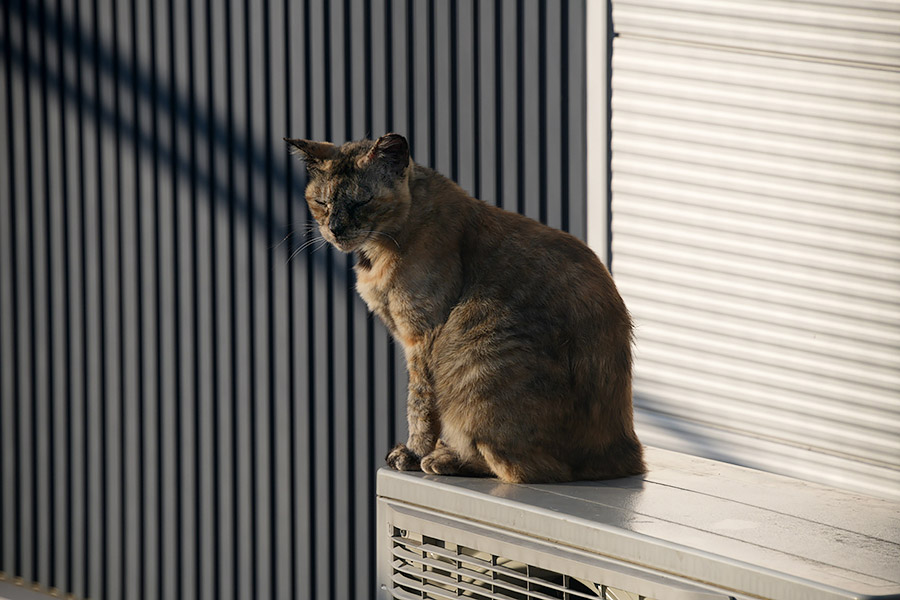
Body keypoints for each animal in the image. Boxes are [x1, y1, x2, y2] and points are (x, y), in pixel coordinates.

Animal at [284, 131, 644, 482]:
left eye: (362, 201)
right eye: (321, 202)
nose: (335, 229)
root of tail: (626, 457)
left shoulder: (422, 337)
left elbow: (419, 405)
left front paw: (412, 453)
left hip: (476, 361)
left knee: (526, 470)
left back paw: (445, 459)